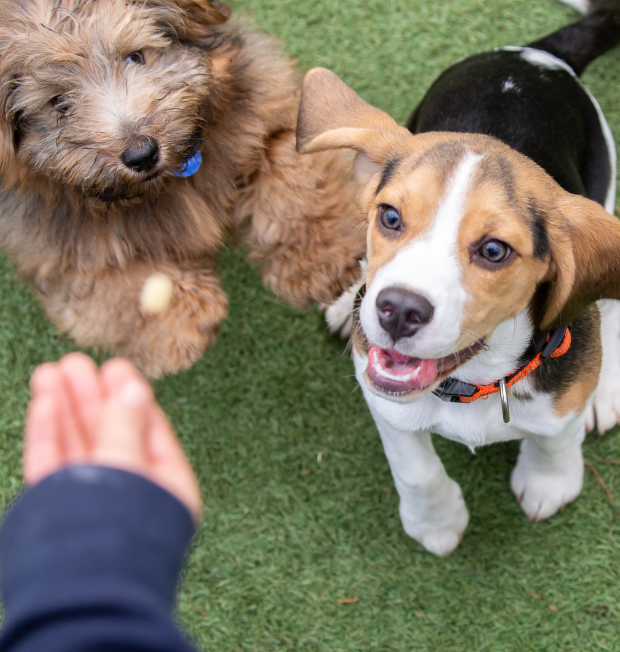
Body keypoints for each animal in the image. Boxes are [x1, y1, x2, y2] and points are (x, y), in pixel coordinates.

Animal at [0, 0, 366, 376]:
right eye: (58, 102)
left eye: (135, 56)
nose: (142, 154)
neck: (169, 179)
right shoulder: (55, 236)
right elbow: (107, 278)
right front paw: (180, 321)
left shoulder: (266, 116)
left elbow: (294, 182)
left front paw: (323, 259)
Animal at [296, 2, 620, 556]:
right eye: (389, 217)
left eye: (493, 251)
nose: (398, 310)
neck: (474, 378)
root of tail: (533, 55)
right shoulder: (384, 399)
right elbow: (416, 470)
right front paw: (436, 523)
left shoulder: (563, 397)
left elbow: (558, 435)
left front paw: (548, 483)